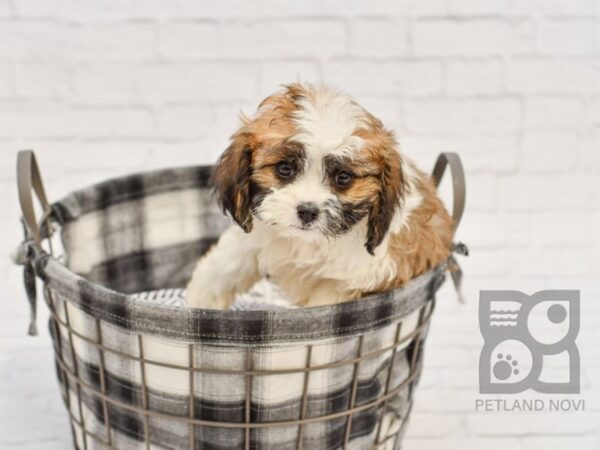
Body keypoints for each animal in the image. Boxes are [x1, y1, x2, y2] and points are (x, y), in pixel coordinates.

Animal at [186, 83, 450, 310]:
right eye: (284, 168)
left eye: (343, 177)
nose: (307, 211)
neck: (308, 242)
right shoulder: (252, 235)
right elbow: (225, 265)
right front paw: (198, 301)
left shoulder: (354, 278)